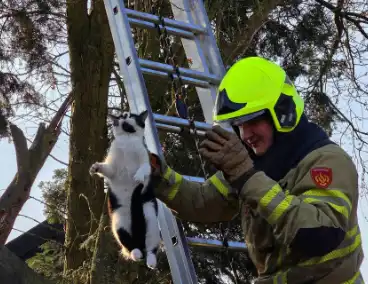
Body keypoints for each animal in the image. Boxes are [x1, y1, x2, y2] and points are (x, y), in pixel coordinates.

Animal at [89, 110, 161, 268]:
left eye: (130, 116)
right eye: (121, 116)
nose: (122, 117)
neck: (126, 141)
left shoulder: (145, 159)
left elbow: (144, 168)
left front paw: (138, 177)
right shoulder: (112, 168)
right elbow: (106, 169)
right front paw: (94, 167)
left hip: (150, 217)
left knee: (151, 248)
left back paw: (151, 262)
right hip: (118, 222)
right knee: (130, 245)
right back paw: (136, 253)